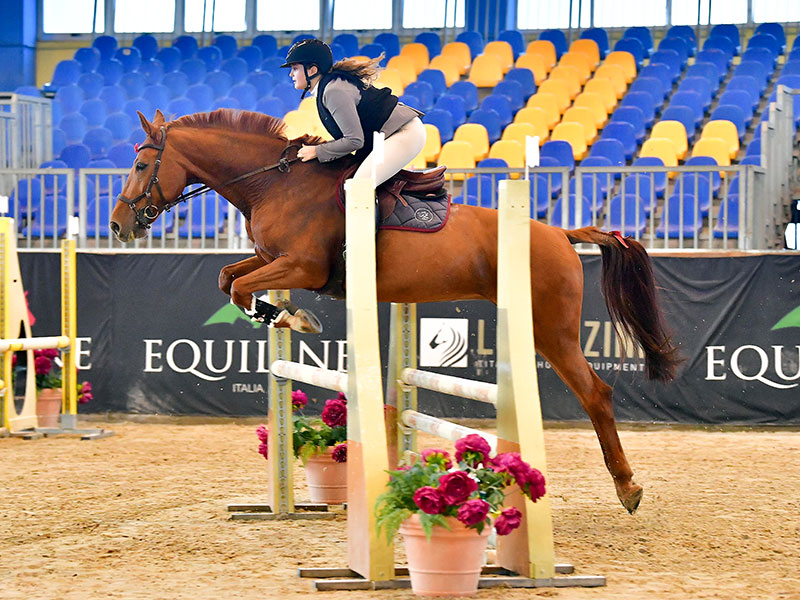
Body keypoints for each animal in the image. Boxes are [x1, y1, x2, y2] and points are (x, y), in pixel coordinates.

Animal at [110, 109, 681, 514]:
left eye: (140, 165)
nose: (119, 225)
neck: (276, 183)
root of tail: (560, 233)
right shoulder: (274, 260)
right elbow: (229, 277)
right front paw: (287, 317)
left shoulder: (302, 267)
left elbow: (240, 288)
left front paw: (295, 319)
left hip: (552, 330)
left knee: (595, 393)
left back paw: (628, 488)